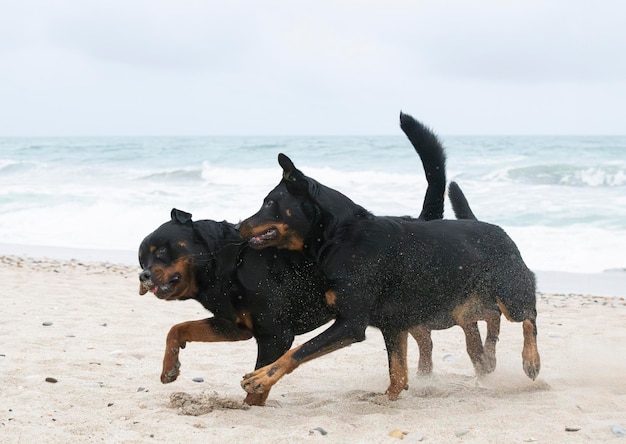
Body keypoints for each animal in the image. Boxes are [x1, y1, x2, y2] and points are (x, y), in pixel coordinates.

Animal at [138, 112, 468, 404]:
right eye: (142, 260)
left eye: (162, 252)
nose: (143, 276)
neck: (226, 264)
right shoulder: (236, 326)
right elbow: (178, 328)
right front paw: (170, 367)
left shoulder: (276, 335)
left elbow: (267, 377)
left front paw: (252, 396)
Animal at [236, 151, 540, 400]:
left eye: (269, 203)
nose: (238, 227)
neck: (340, 237)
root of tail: (497, 229)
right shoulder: (392, 323)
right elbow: (398, 372)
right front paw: (389, 396)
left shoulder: (351, 323)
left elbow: (298, 350)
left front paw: (262, 377)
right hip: (462, 307)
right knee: (491, 316)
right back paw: (491, 356)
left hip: (510, 293)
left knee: (528, 315)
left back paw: (531, 361)